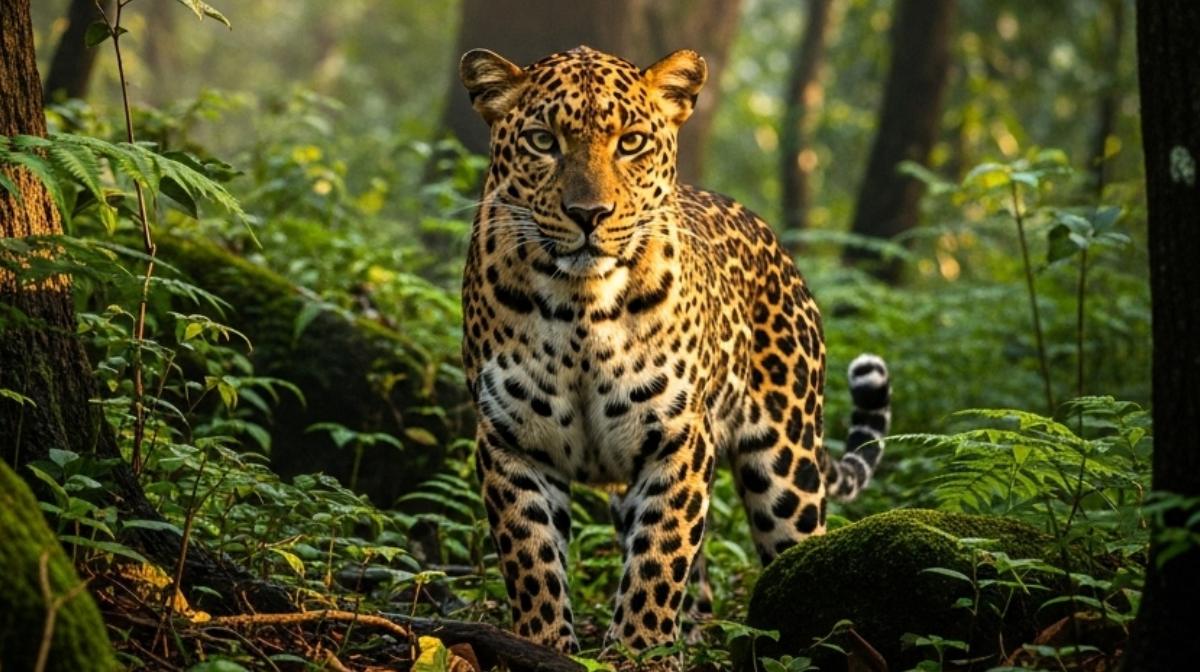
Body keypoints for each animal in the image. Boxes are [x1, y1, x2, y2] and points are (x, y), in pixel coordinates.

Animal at [458, 45, 892, 656]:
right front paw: (546, 647)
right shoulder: (510, 442)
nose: (589, 213)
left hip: (789, 474)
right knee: (698, 586)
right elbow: (533, 563)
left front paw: (636, 652)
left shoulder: (679, 438)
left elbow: (659, 561)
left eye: (631, 141)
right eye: (543, 141)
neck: (581, 307)